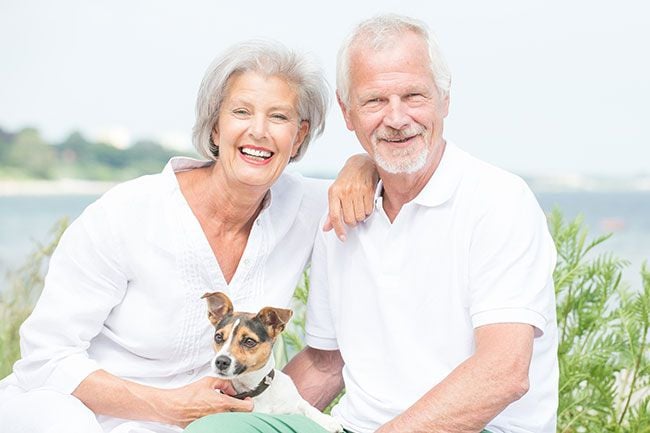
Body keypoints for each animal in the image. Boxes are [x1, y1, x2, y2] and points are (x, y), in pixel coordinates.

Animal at [201, 290, 344, 432]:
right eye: (218, 337)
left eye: (249, 341)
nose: (221, 361)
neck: (252, 388)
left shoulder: (293, 402)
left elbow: (305, 405)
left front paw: (326, 420)